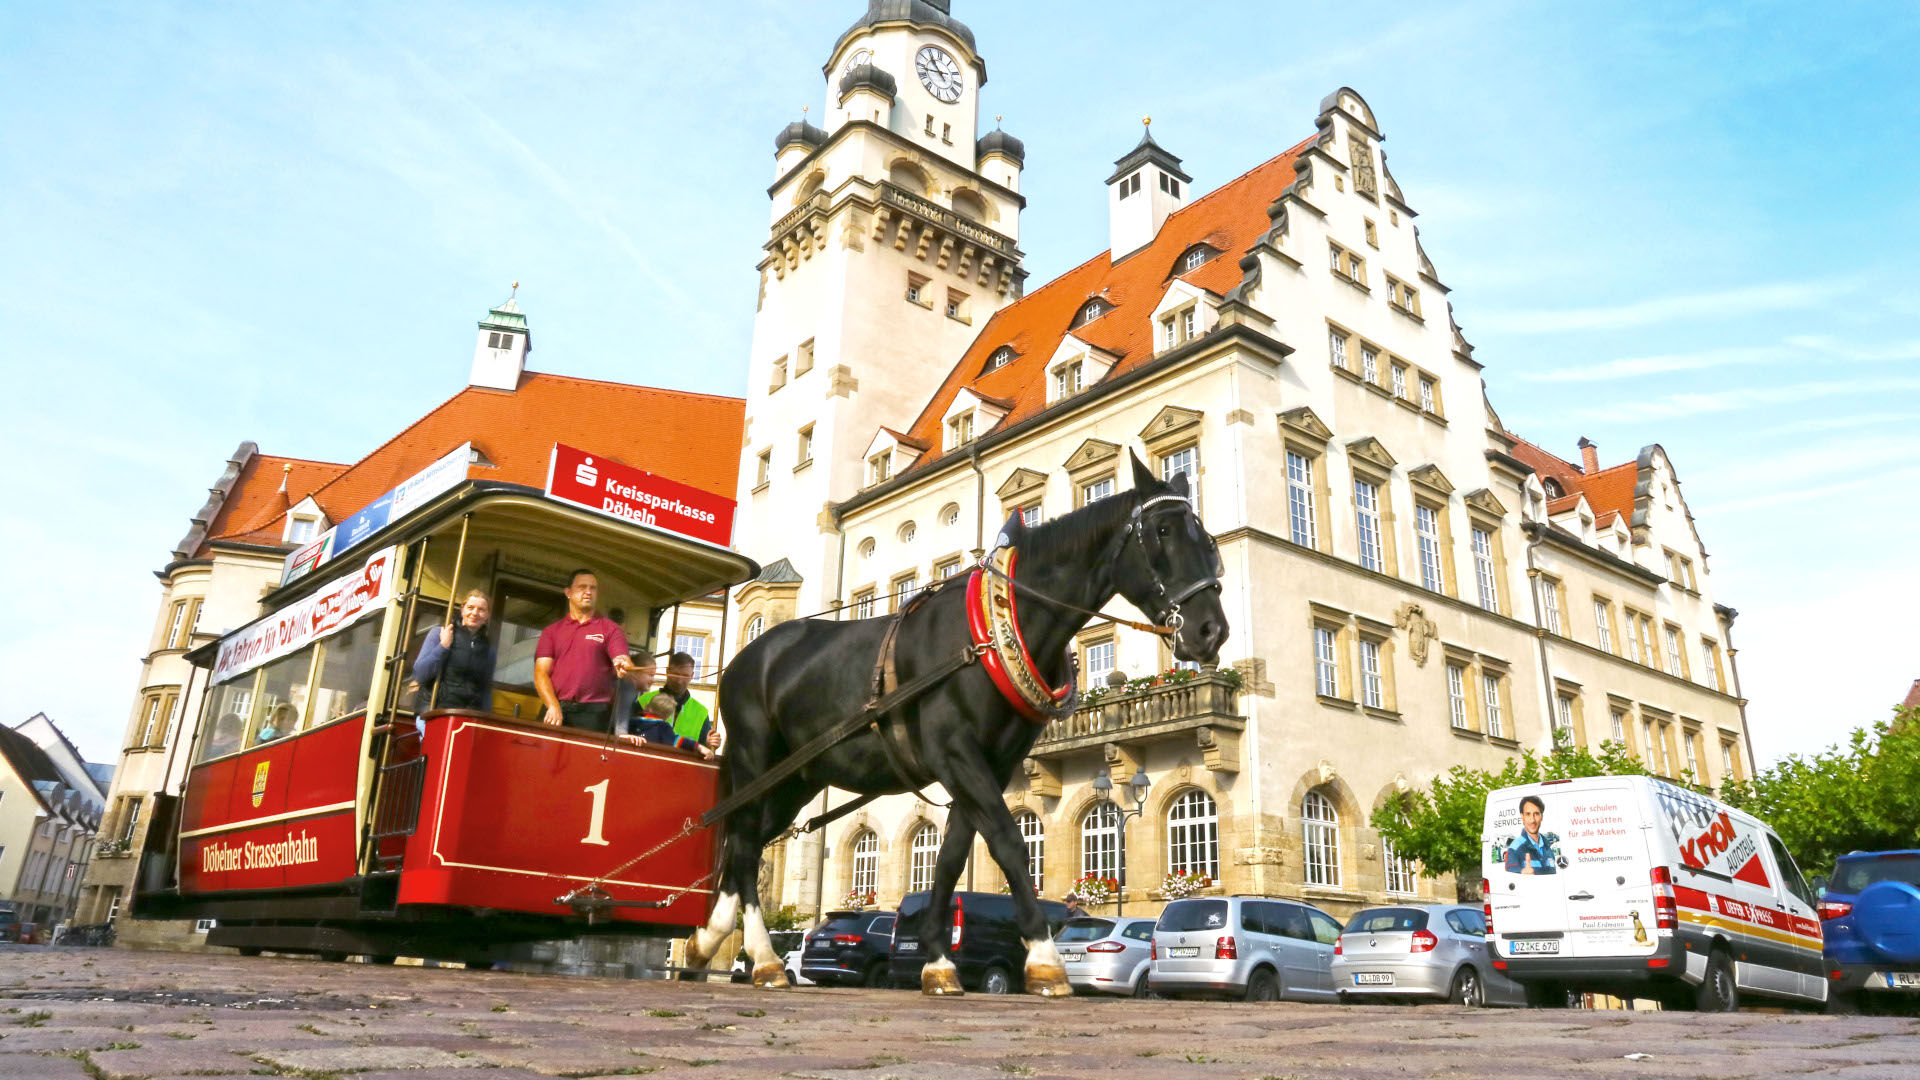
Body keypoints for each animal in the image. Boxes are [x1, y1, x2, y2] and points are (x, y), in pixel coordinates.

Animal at [695, 451, 1228, 991]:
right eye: (1162, 530)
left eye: (1206, 538)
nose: (1212, 630)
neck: (991, 634)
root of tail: (748, 656)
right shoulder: (957, 755)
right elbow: (1008, 842)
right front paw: (1044, 956)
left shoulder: (989, 765)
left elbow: (952, 856)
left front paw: (936, 959)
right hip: (756, 760)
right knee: (744, 842)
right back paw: (761, 956)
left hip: (799, 778)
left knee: (746, 840)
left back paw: (710, 937)